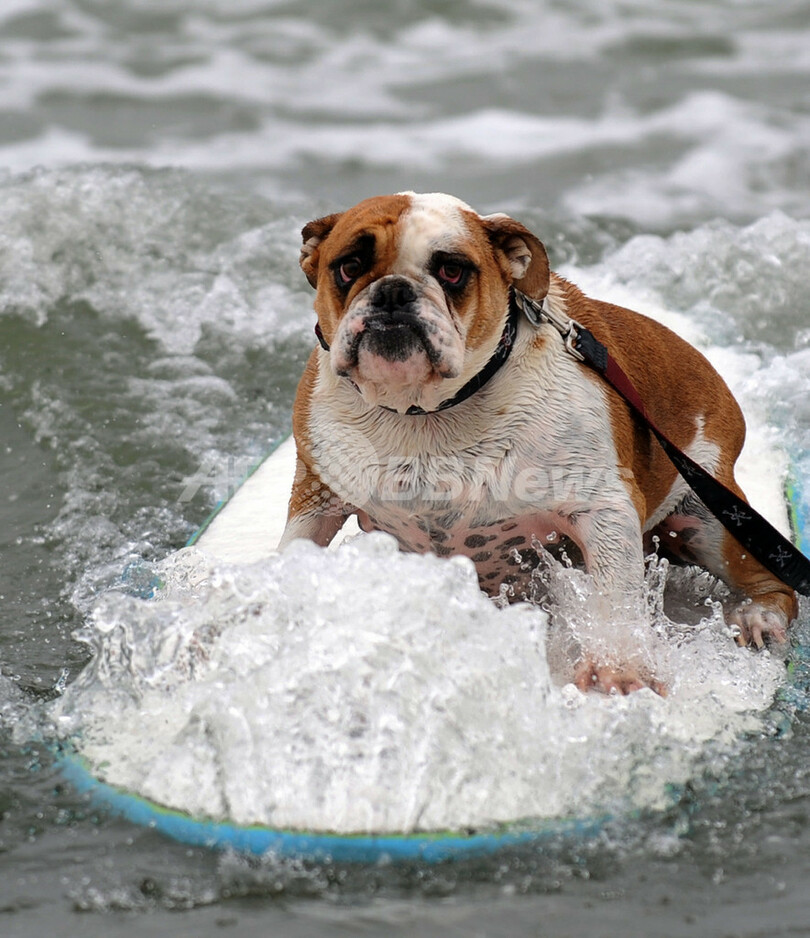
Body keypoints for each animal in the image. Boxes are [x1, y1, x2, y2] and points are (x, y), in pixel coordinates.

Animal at [279, 191, 798, 693]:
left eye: (451, 271)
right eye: (348, 267)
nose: (393, 291)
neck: (425, 412)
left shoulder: (603, 508)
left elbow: (614, 598)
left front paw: (619, 667)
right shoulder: (316, 496)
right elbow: (294, 550)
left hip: (713, 518)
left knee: (775, 581)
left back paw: (758, 617)